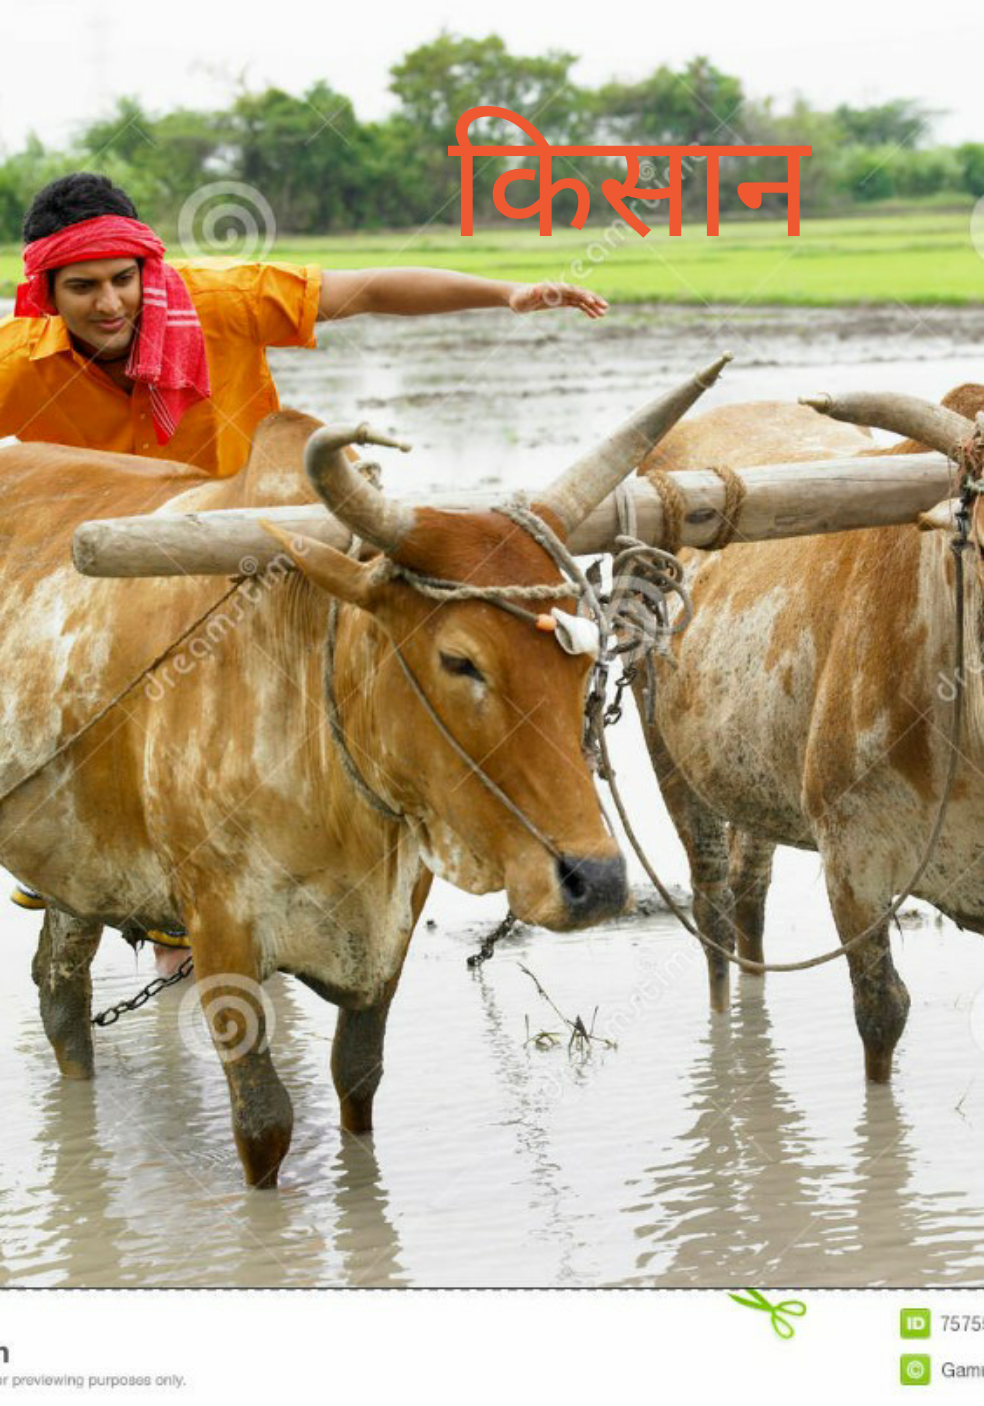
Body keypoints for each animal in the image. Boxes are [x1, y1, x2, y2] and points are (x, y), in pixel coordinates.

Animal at [0, 361, 721, 1186]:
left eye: (586, 656)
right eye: (460, 659)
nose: (595, 882)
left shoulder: (396, 918)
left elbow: (359, 1076)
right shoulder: (221, 931)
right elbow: (264, 1122)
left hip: (75, 865)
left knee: (60, 994)